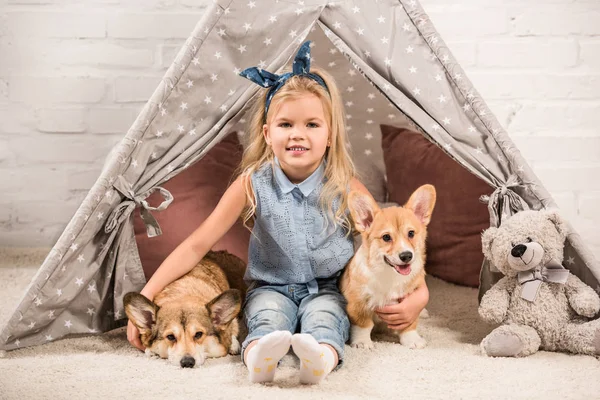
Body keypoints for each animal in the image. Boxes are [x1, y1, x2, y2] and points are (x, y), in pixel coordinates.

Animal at [342, 185, 436, 350]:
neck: (389, 274)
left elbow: (409, 323)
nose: (406, 255)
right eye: (386, 237)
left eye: (411, 233)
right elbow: (364, 324)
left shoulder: (409, 303)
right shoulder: (358, 303)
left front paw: (412, 339)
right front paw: (362, 342)